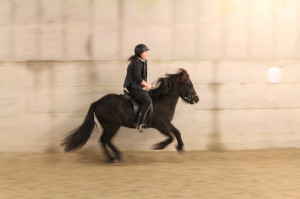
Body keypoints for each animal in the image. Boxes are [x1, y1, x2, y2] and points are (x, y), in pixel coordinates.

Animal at [61, 67, 199, 162]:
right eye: (189, 84)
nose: (196, 99)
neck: (162, 101)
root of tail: (98, 102)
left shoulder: (167, 123)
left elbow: (177, 133)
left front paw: (180, 147)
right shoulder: (160, 125)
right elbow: (170, 137)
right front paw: (158, 146)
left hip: (109, 126)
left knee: (103, 140)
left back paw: (112, 158)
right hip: (112, 125)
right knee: (106, 139)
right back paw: (117, 157)